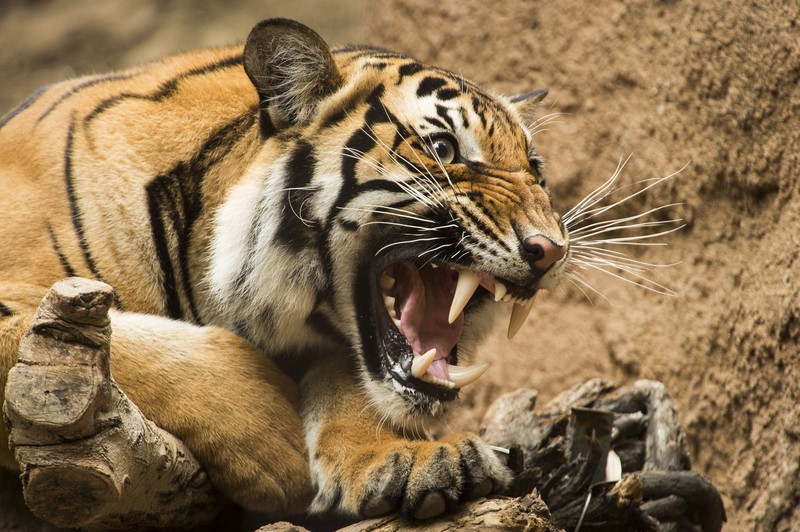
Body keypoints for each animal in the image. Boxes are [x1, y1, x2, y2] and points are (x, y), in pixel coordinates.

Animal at [0, 18, 569, 520]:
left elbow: (354, 382)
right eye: (444, 149)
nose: (552, 249)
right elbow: (119, 341)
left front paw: (405, 457)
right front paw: (273, 444)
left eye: (536, 171)